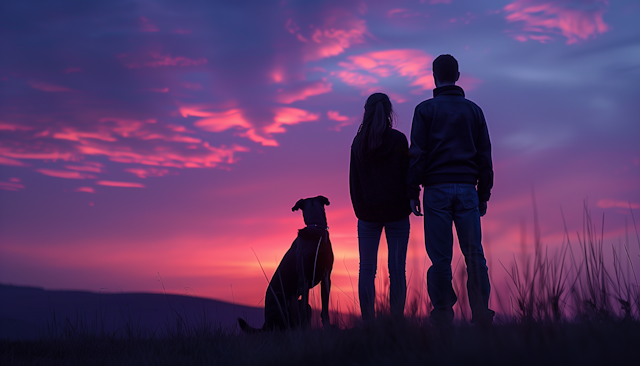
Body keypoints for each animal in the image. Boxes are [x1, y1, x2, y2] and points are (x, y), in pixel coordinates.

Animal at [239, 197, 336, 332]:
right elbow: (304, 310)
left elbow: (325, 308)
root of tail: (265, 323)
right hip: (283, 308)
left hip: (302, 305)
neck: (315, 229)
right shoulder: (304, 279)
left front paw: (327, 326)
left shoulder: (326, 277)